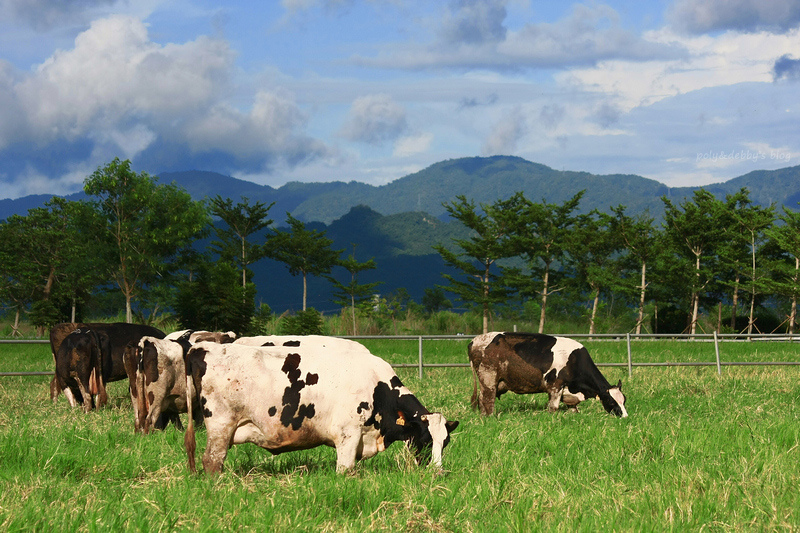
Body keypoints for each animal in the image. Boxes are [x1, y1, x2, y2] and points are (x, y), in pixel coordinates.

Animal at [181, 338, 456, 472]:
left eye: (445, 443)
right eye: (425, 441)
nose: (437, 472)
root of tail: (202, 348)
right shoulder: (348, 434)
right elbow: (345, 469)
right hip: (221, 425)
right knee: (212, 461)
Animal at [466, 332, 628, 416]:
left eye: (624, 400)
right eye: (611, 402)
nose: (625, 416)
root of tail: (475, 340)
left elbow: (573, 409)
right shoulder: (555, 385)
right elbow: (553, 408)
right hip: (488, 378)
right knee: (487, 400)